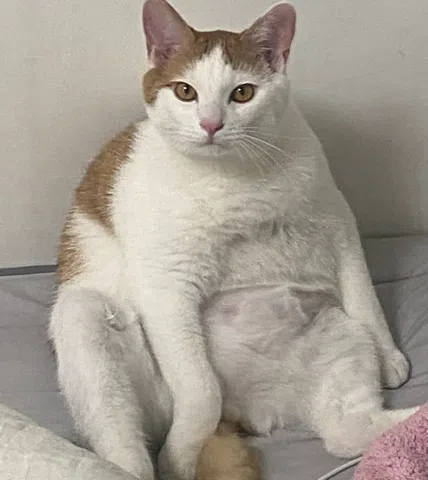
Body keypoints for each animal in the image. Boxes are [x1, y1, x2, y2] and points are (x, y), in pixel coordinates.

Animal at [49, 0, 416, 479]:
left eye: (242, 93)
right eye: (185, 91)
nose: (211, 124)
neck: (236, 179)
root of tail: (249, 413)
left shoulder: (338, 222)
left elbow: (364, 295)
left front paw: (389, 356)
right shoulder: (167, 283)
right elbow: (202, 389)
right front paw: (180, 456)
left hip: (338, 338)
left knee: (347, 430)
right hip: (87, 323)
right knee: (129, 446)